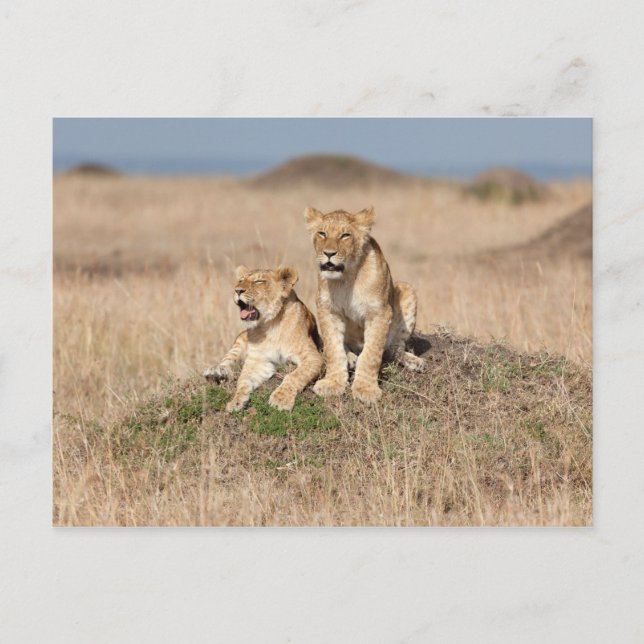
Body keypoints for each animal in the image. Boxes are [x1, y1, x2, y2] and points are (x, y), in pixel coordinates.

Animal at [203, 265, 323, 412]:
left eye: (259, 281)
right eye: (241, 280)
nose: (237, 290)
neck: (270, 325)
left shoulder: (313, 357)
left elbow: (295, 375)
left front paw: (280, 399)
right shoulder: (258, 361)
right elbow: (243, 381)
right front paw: (236, 401)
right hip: (240, 338)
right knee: (228, 360)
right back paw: (215, 372)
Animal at [304, 206, 425, 404]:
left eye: (345, 235)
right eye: (322, 233)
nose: (329, 253)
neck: (346, 278)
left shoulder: (379, 313)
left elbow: (371, 354)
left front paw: (365, 389)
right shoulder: (328, 310)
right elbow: (333, 349)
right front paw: (333, 383)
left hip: (406, 289)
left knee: (394, 348)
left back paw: (414, 361)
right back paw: (351, 357)